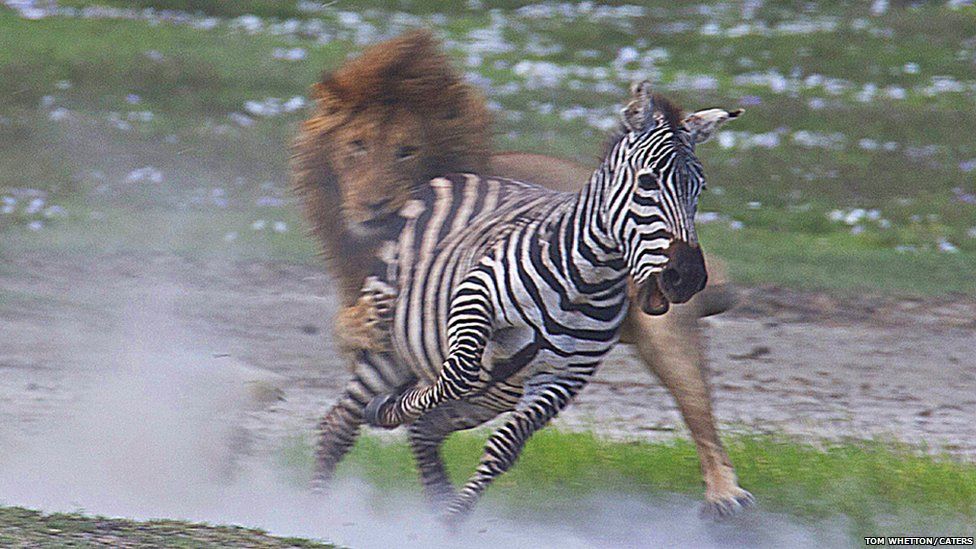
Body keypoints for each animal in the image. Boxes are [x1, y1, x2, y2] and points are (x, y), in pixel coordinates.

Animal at [290, 31, 756, 520]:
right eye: (647, 182)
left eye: (699, 188)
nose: (686, 276)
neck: (585, 279)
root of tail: (455, 179)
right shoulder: (469, 305)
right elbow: (453, 375)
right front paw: (393, 410)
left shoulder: (560, 380)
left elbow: (503, 448)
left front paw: (453, 520)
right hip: (397, 351)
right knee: (343, 421)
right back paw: (320, 504)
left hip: (631, 351)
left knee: (699, 412)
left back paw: (725, 495)